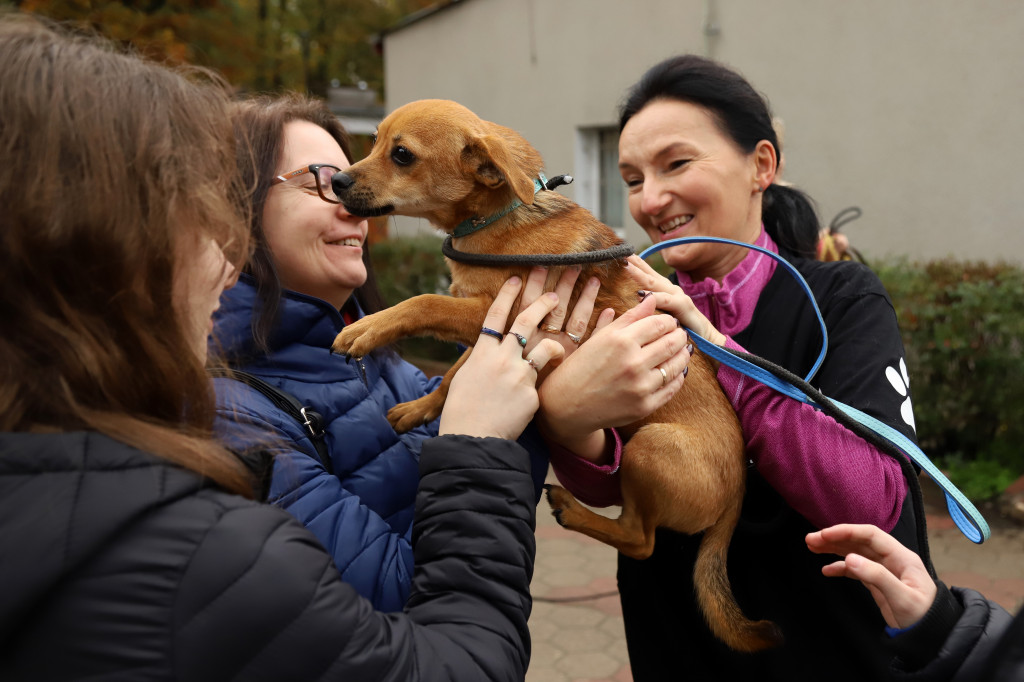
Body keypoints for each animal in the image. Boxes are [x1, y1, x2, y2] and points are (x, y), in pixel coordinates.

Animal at [331, 99, 778, 647]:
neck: (498, 216)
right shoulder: (492, 327)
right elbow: (457, 372)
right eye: (373, 142)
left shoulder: (496, 310)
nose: (336, 182)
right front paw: (419, 409)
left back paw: (575, 508)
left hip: (651, 448)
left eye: (401, 155)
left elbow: (421, 302)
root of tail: (736, 499)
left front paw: (367, 328)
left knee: (640, 539)